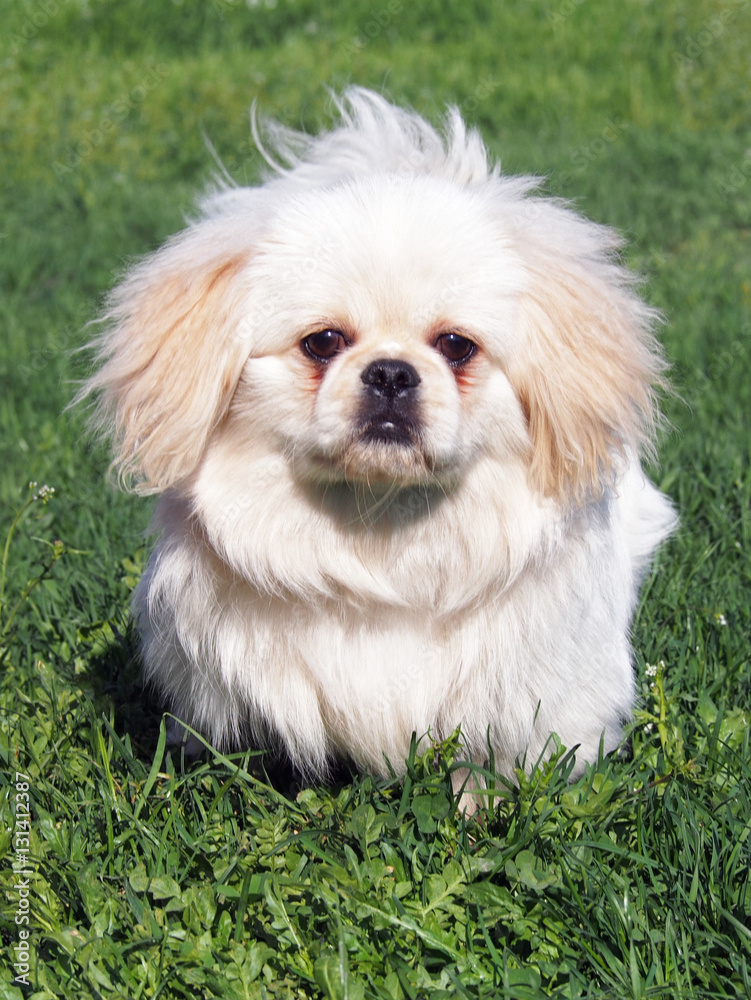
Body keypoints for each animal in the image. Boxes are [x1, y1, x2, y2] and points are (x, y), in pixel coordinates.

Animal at [79, 90, 680, 800]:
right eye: (323, 342)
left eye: (456, 346)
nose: (391, 372)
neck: (381, 527)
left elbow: (498, 760)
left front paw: (477, 802)